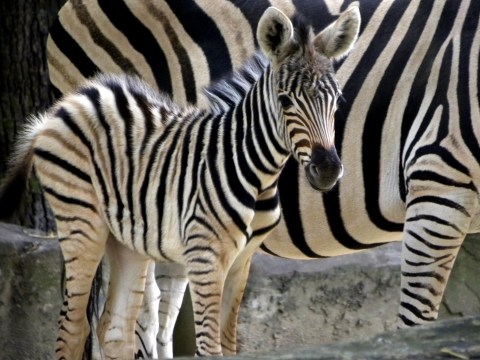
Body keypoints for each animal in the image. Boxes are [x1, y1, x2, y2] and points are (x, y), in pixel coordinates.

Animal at [0, 6, 358, 360]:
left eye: (338, 100)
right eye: (285, 101)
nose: (328, 170)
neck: (255, 169)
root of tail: (69, 102)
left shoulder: (242, 261)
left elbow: (229, 345)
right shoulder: (206, 255)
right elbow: (208, 347)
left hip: (127, 239)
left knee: (115, 330)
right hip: (81, 222)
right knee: (73, 329)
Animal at [45, 0, 480, 358]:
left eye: (340, 100)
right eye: (285, 101)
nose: (328, 169)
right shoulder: (439, 181)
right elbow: (415, 325)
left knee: (154, 321)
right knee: (131, 321)